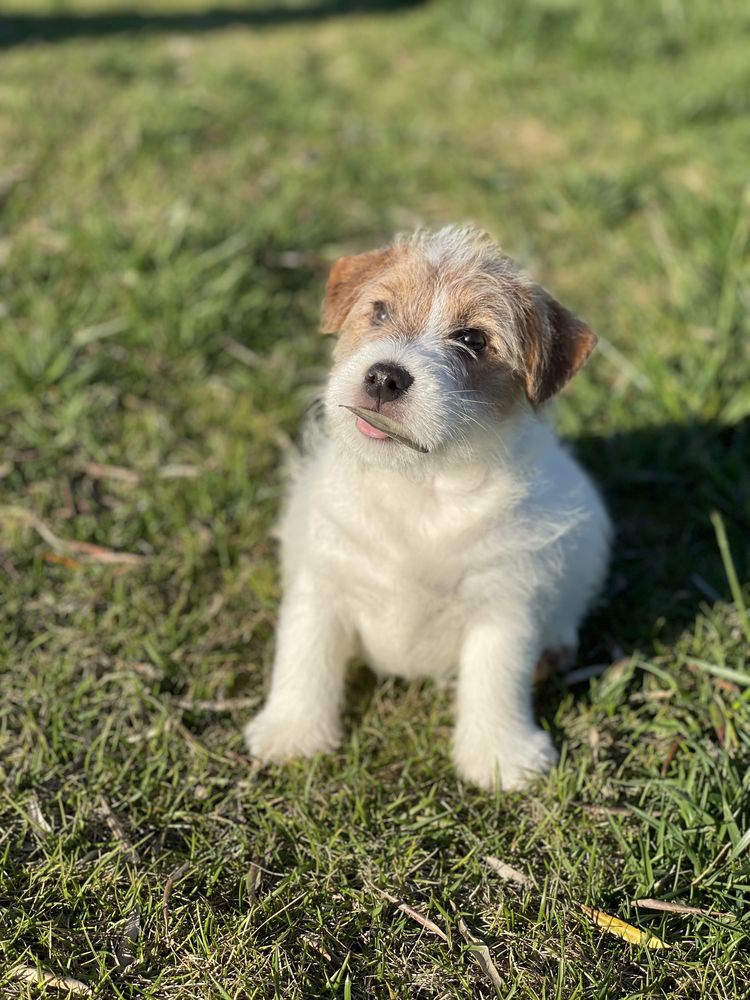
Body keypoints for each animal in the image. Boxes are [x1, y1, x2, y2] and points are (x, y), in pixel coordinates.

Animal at [244, 227, 612, 788]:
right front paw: (293, 733)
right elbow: (304, 657)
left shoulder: (503, 605)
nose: (384, 377)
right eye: (379, 311)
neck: (418, 487)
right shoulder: (323, 584)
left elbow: (495, 680)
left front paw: (499, 756)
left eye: (474, 340)